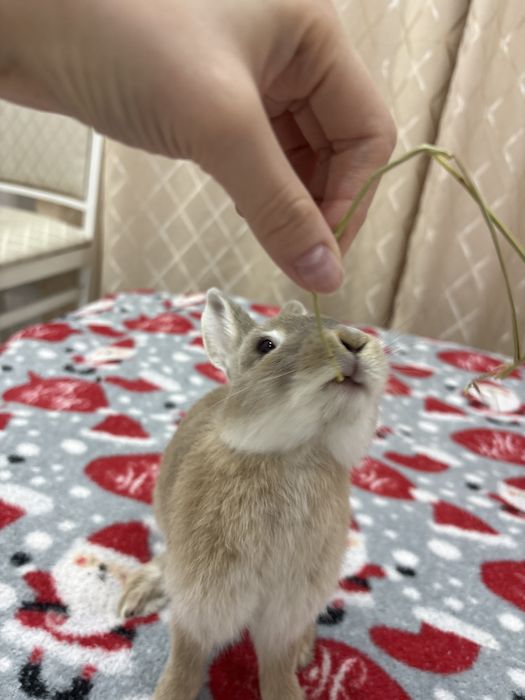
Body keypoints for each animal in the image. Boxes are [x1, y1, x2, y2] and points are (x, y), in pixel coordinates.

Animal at [118, 288, 388, 700]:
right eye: (266, 345)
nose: (355, 341)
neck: (295, 452)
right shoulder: (203, 599)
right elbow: (186, 659)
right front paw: (169, 693)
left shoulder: (287, 610)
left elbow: (277, 666)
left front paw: (290, 689)